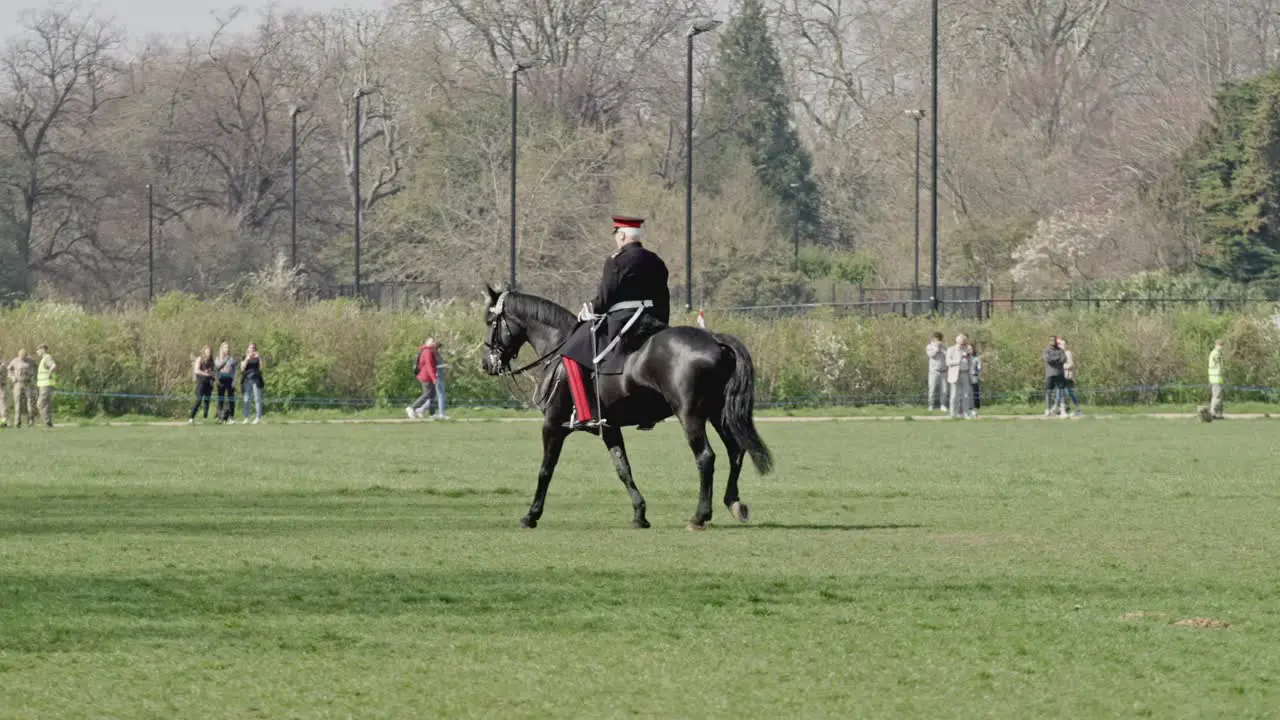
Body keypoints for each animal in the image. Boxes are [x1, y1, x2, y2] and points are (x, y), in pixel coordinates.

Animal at [481, 284, 773, 527]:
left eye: (490, 321)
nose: (486, 363)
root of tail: (714, 339)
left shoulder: (553, 424)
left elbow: (546, 470)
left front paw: (531, 515)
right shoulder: (610, 428)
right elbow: (623, 468)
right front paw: (640, 513)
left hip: (690, 416)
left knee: (705, 457)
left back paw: (700, 516)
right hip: (717, 414)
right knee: (736, 451)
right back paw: (734, 503)